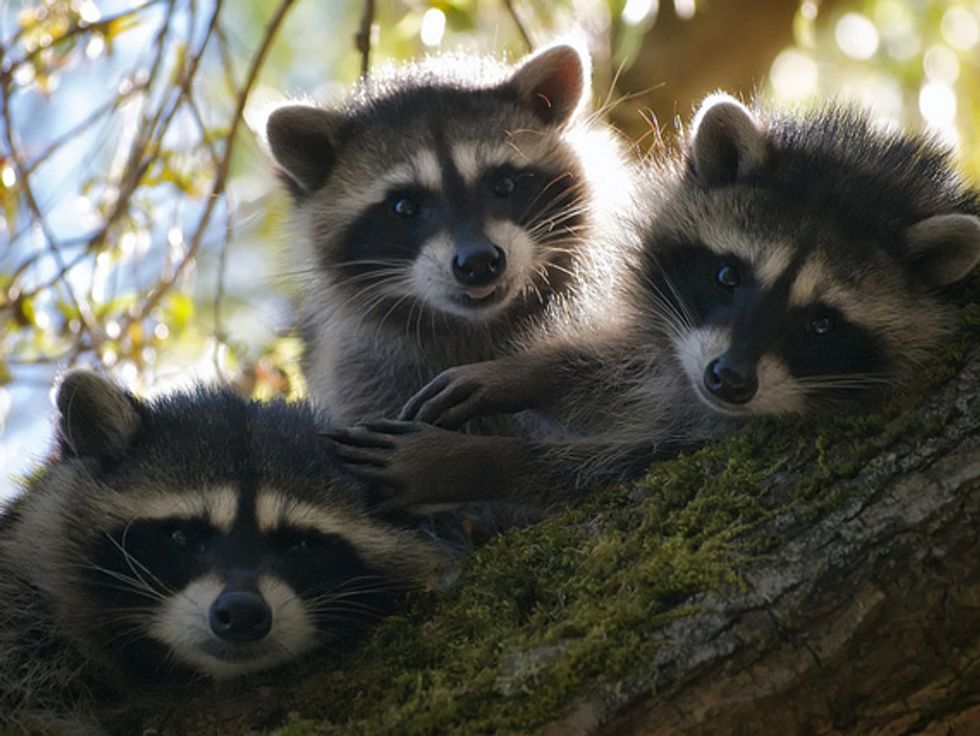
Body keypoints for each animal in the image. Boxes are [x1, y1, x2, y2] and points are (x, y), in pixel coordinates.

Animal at [326, 93, 980, 508]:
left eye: (821, 323)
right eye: (727, 275)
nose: (728, 380)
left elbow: (608, 466)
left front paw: (473, 462)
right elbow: (623, 365)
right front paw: (526, 371)